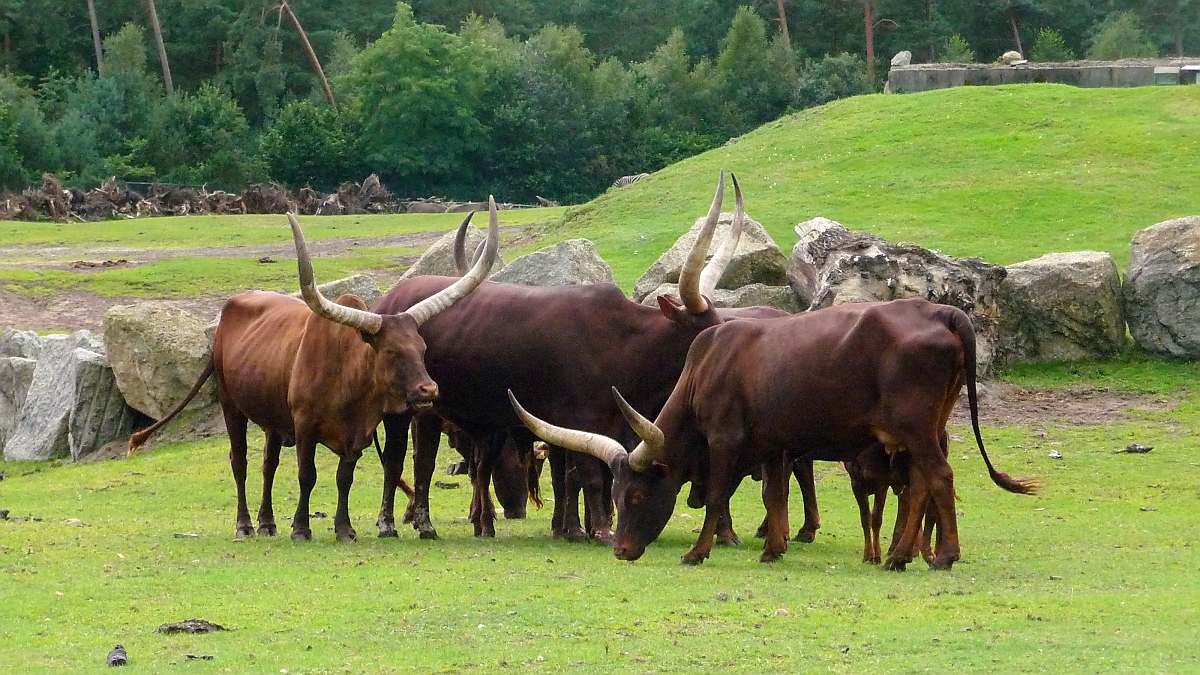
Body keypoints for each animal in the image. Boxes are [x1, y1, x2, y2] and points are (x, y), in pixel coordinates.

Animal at [131, 201, 501, 538]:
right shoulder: (305, 424)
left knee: (268, 465)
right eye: (391, 351)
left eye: (422, 348)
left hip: (272, 418)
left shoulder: (358, 434)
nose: (429, 390)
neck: (347, 380)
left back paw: (267, 523)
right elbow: (307, 475)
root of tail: (227, 313)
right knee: (240, 461)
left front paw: (344, 528)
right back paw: (245, 525)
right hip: (230, 402)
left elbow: (343, 478)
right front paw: (301, 528)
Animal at [511, 296, 1036, 564]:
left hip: (916, 428)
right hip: (923, 430)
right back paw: (900, 555)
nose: (621, 550)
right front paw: (775, 546)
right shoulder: (775, 445)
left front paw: (699, 551)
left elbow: (718, 494)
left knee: (938, 478)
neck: (709, 365)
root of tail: (942, 311)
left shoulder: (725, 441)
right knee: (923, 484)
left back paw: (941, 555)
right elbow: (775, 494)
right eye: (617, 496)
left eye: (637, 496)